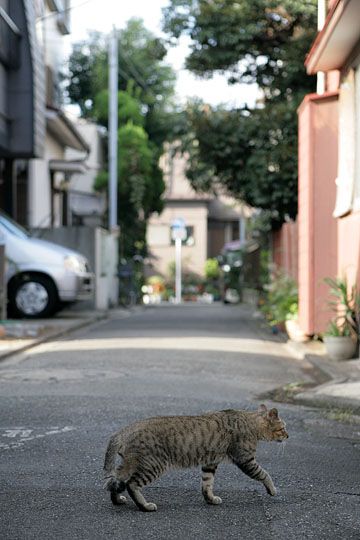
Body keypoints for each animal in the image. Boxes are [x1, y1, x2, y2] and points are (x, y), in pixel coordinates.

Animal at [102, 402, 288, 512]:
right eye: (283, 428)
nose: (288, 436)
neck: (250, 422)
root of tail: (126, 429)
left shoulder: (210, 462)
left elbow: (207, 484)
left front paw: (210, 499)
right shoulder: (246, 460)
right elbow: (264, 474)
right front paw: (272, 489)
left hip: (131, 464)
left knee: (113, 481)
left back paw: (117, 500)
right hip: (154, 465)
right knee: (131, 484)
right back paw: (145, 506)